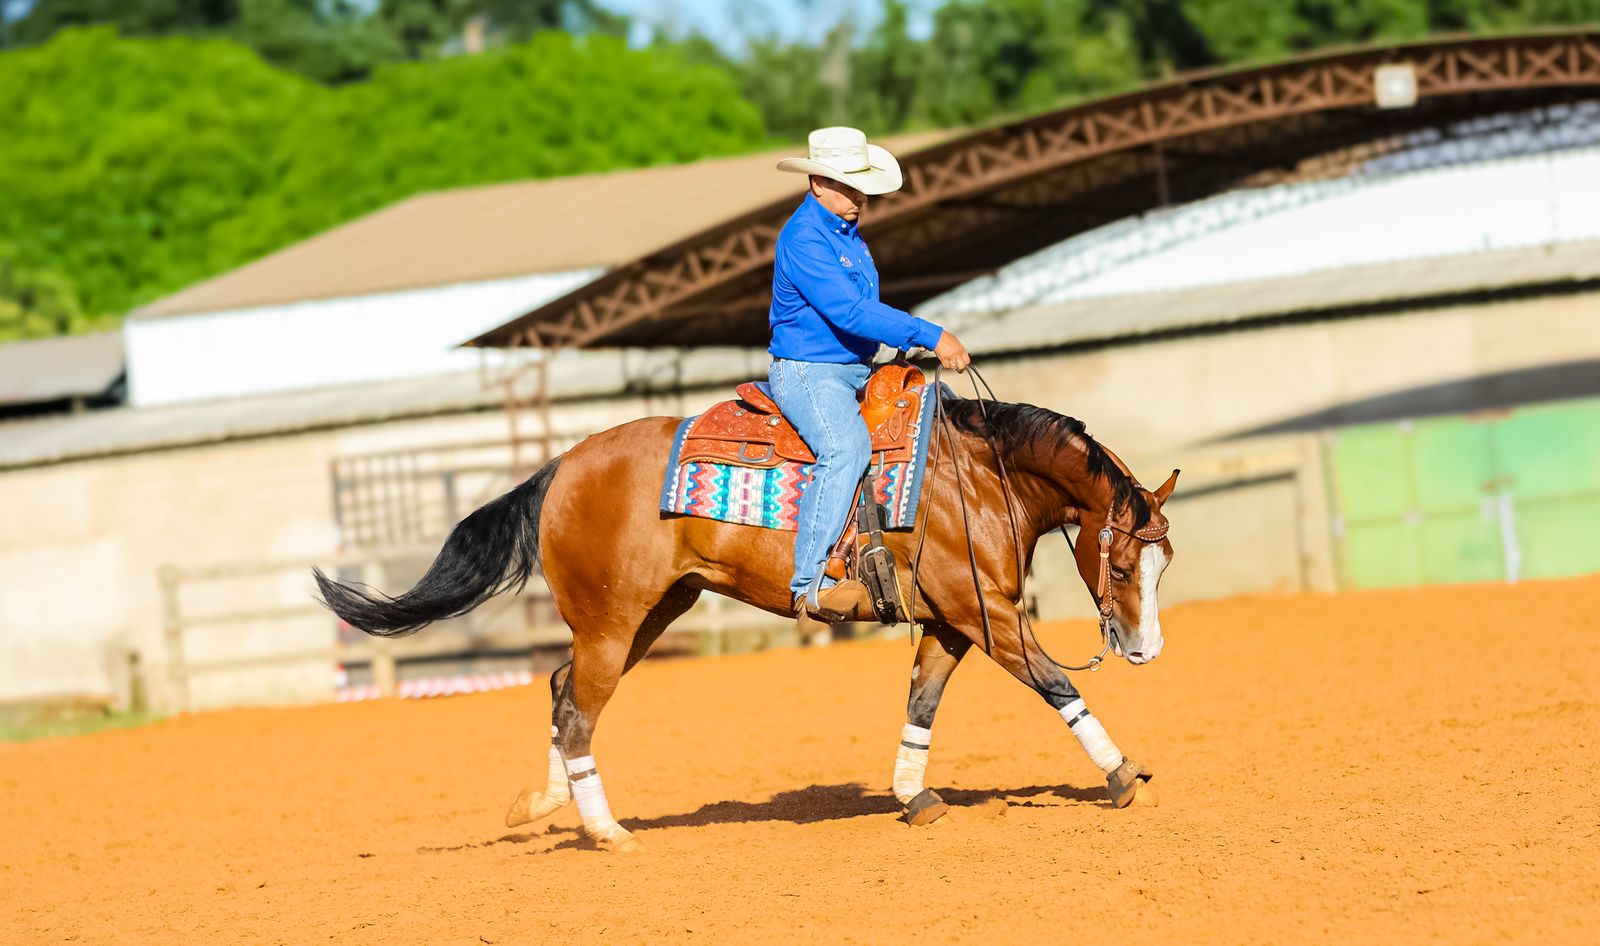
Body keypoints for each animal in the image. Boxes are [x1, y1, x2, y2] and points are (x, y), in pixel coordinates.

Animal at [314, 387, 1178, 853]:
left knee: (563, 691)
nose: (1144, 649)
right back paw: (608, 832)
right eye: (1123, 567)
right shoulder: (987, 614)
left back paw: (550, 807)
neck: (970, 479)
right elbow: (1056, 684)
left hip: (650, 615)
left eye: (1164, 563)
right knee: (580, 711)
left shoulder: (951, 622)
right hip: (613, 623)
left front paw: (912, 796)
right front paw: (1123, 775)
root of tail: (559, 467)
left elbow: (922, 704)